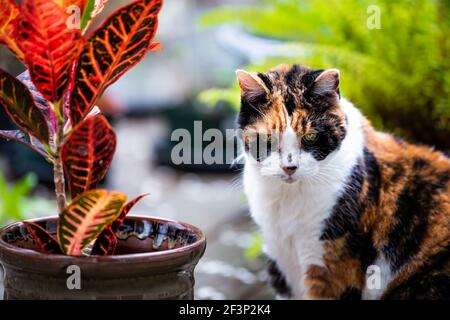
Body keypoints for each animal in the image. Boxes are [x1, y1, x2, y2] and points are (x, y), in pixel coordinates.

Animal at [237, 63, 448, 298]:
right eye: (269, 139)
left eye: (310, 137)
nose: (289, 167)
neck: (287, 200)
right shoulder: (280, 258)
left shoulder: (333, 267)